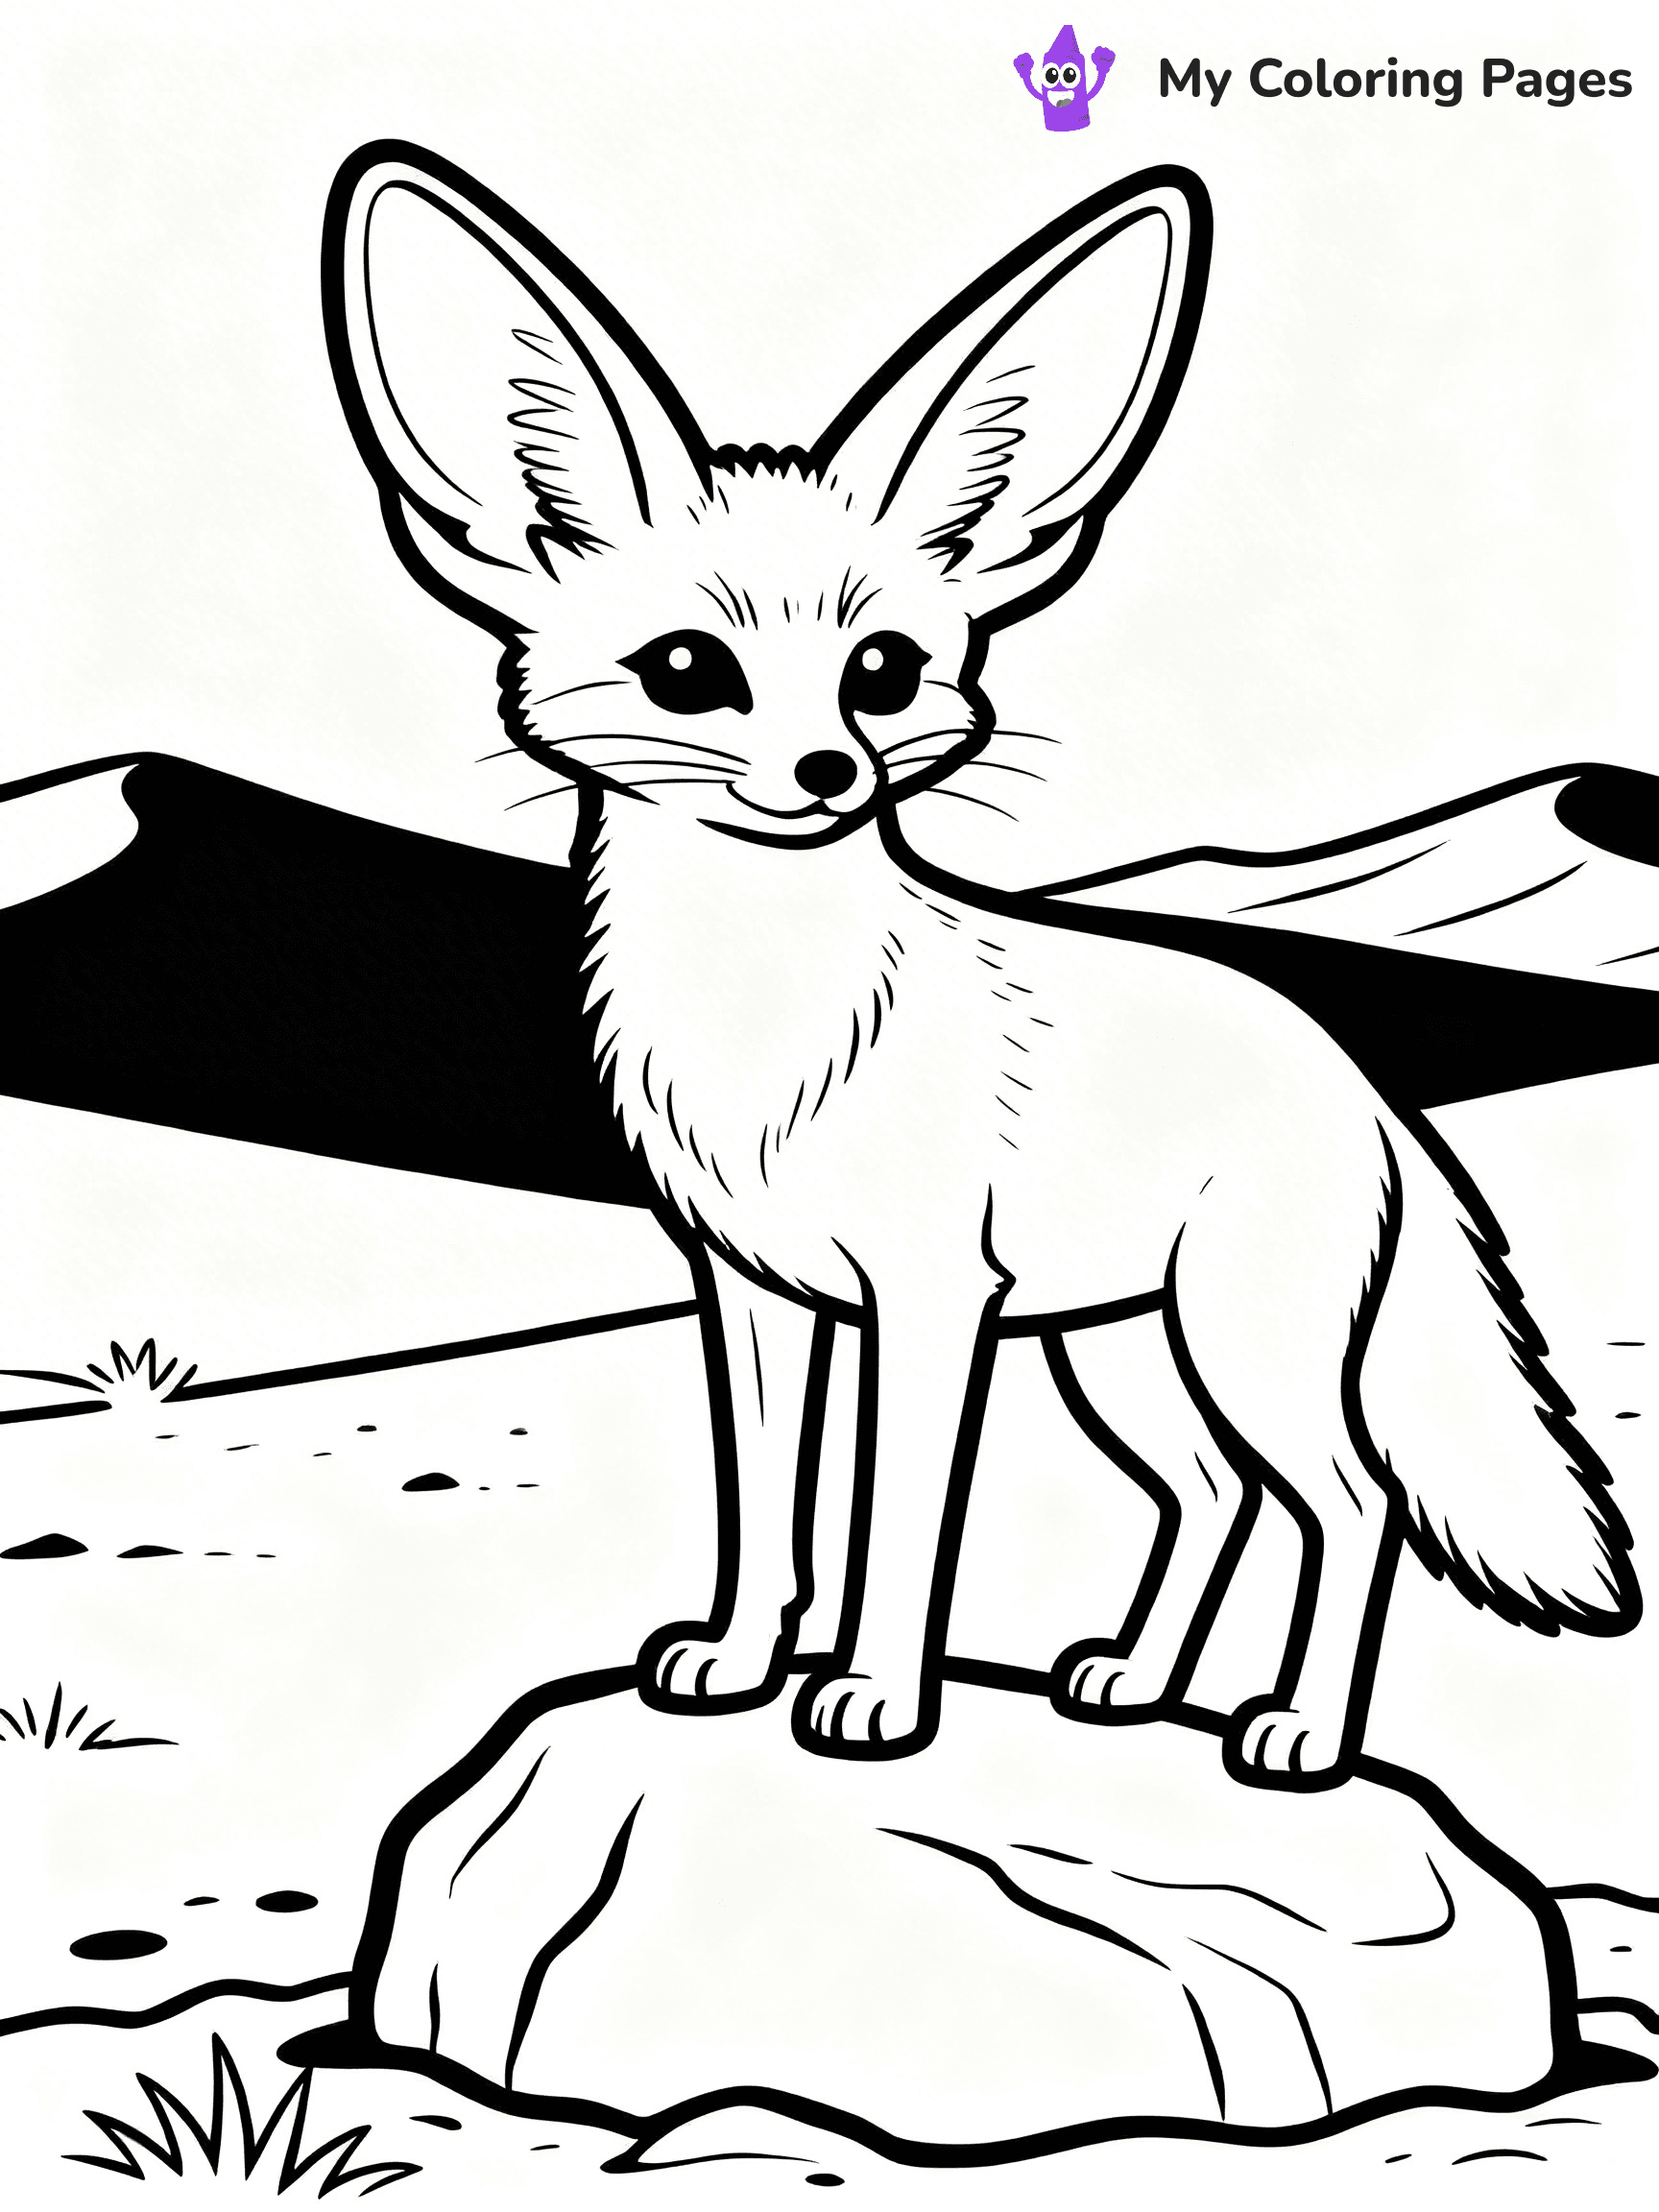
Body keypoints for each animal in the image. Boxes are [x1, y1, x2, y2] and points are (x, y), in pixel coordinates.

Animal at [324, 144, 1639, 1783]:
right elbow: (769, 1513)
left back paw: (1294, 1735)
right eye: (689, 671)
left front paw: (878, 1700)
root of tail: (1370, 1090)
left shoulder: (931, 1296)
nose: (828, 772)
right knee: (1213, 1492)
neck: (767, 1019)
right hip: (1123, 1352)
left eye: (882, 670)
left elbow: (896, 1531)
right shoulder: (754, 1295)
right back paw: (1132, 1682)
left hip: (1240, 1343)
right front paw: (738, 1664)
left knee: (1350, 1502)